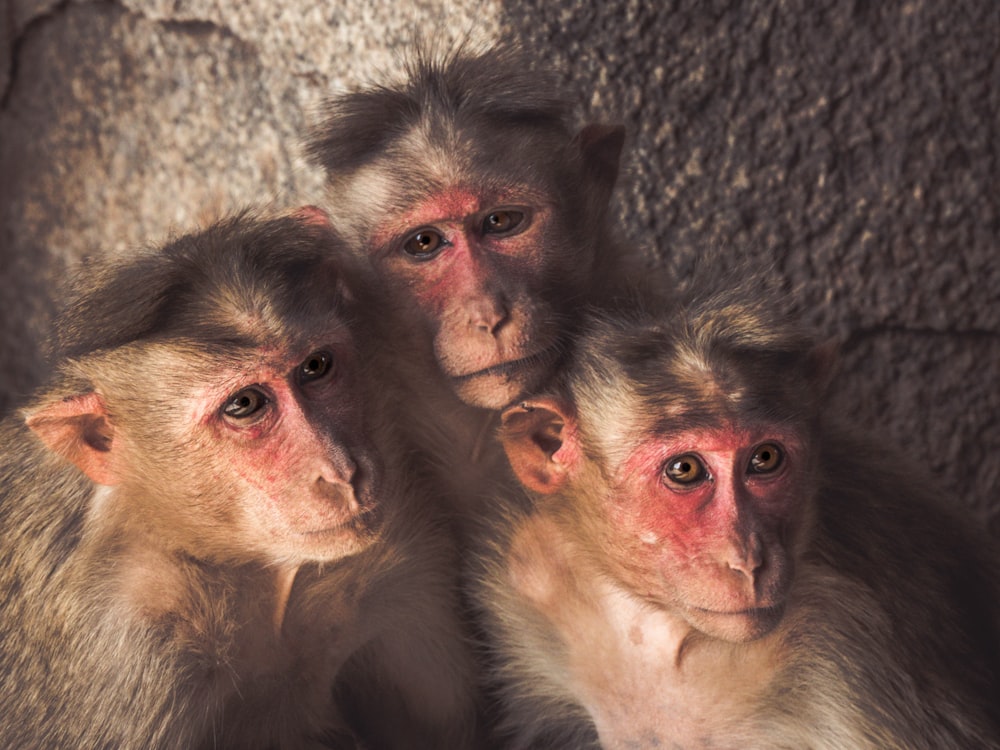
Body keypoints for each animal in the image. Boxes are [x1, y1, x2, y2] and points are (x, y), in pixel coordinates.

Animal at [474, 278, 1000, 750]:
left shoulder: (845, 646)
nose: (748, 560)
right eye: (684, 469)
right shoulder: (531, 573)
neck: (666, 627)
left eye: (764, 458)